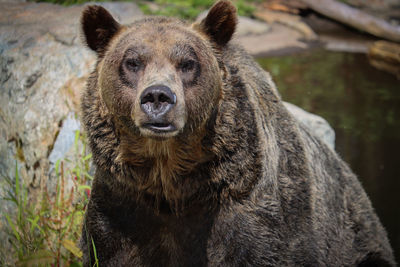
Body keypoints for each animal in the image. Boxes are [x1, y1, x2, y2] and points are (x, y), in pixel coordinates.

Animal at [80, 1, 394, 266]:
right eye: (132, 61)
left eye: (187, 63)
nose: (158, 96)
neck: (172, 183)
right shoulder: (121, 207)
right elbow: (107, 249)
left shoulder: (250, 211)